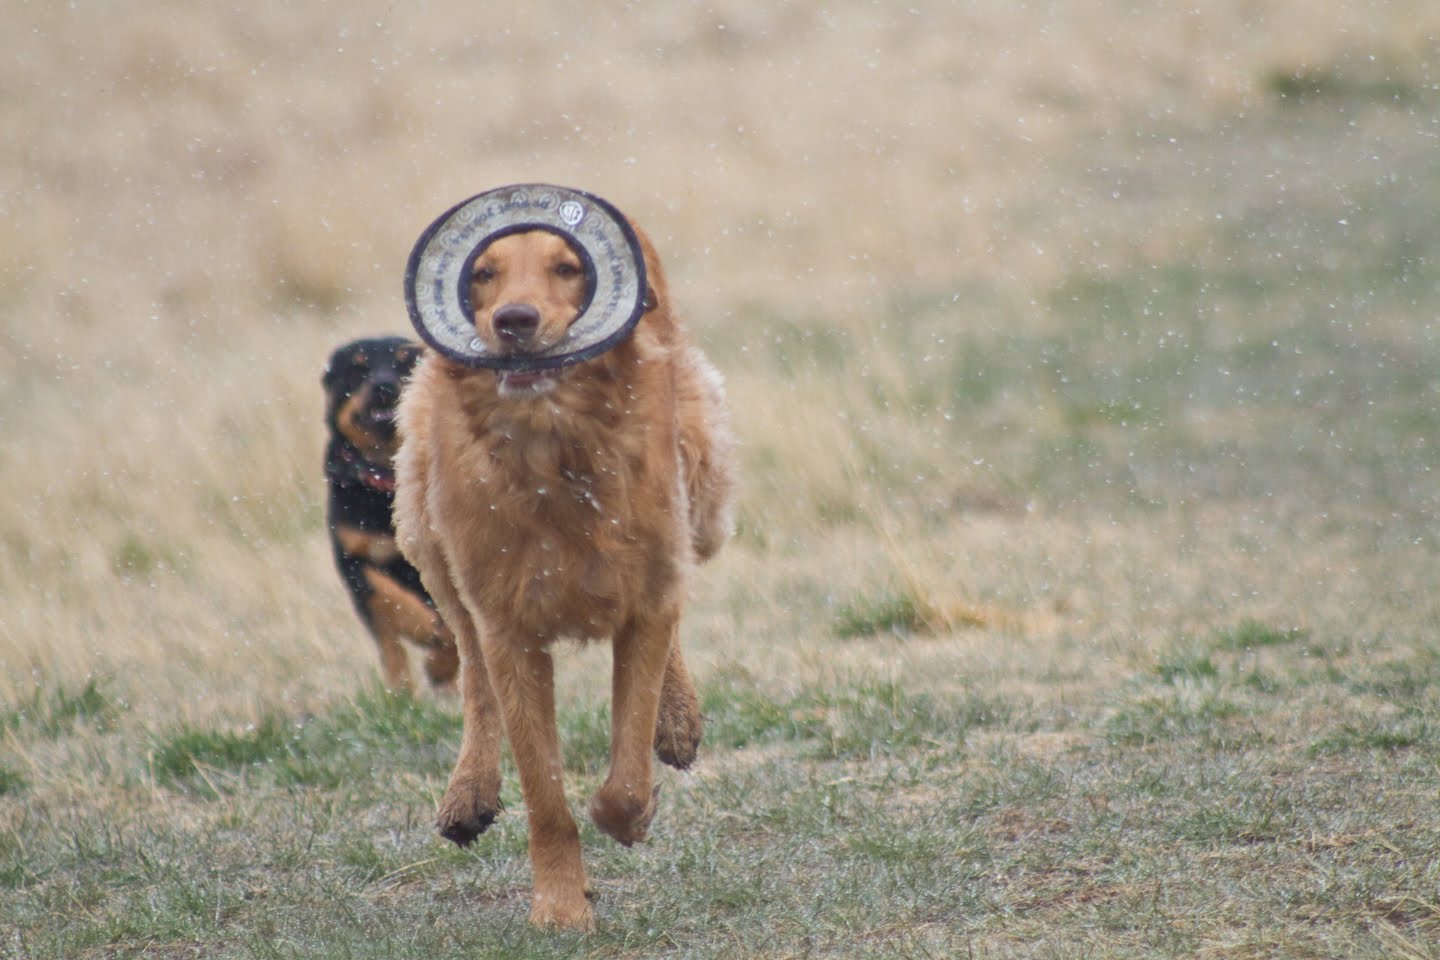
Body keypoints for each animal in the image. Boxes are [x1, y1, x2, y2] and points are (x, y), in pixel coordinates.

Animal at [323, 336, 458, 692]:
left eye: (405, 362)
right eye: (357, 368)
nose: (383, 385)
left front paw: (440, 664)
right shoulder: (352, 559)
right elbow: (386, 596)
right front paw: (424, 629)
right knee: (389, 644)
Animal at [394, 218, 735, 929]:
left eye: (567, 267)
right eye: (482, 273)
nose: (514, 320)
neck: (553, 454)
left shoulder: (646, 596)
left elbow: (627, 769)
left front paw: (633, 813)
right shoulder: (508, 628)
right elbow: (544, 793)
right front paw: (558, 905)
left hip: (702, 481)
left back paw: (678, 720)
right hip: (423, 532)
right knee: (469, 667)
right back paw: (469, 791)